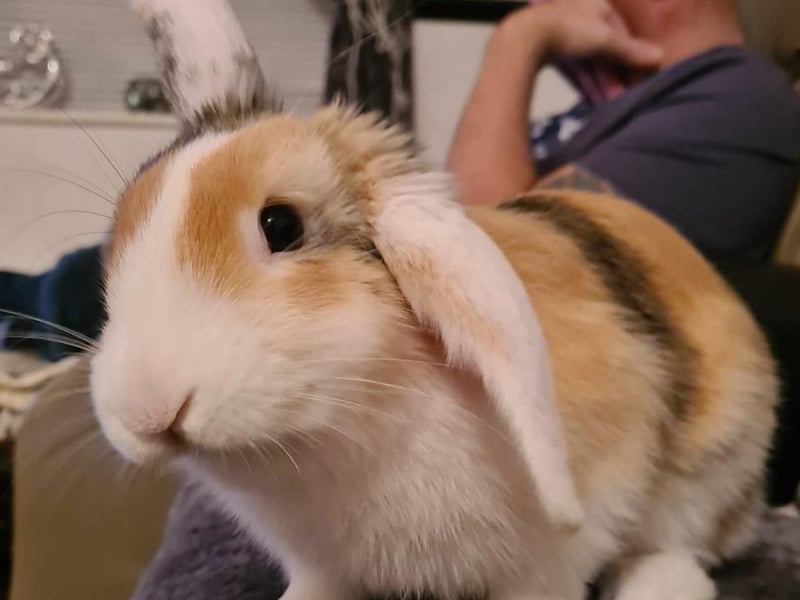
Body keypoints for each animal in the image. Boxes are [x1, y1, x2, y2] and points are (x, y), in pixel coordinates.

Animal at [89, 1, 779, 599]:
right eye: (119, 229)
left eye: (280, 225)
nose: (147, 409)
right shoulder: (322, 566)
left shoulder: (551, 559)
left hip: (711, 471)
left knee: (682, 545)